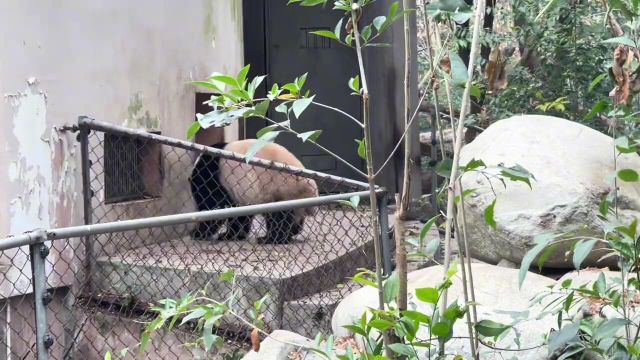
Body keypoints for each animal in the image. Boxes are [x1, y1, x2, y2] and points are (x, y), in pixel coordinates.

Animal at [190, 139, 320, 243]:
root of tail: (312, 189)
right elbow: (240, 214)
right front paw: (232, 235)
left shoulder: (213, 177)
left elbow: (216, 205)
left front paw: (200, 233)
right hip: (294, 197)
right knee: (293, 217)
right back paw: (290, 233)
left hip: (284, 189)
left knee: (279, 216)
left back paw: (270, 239)